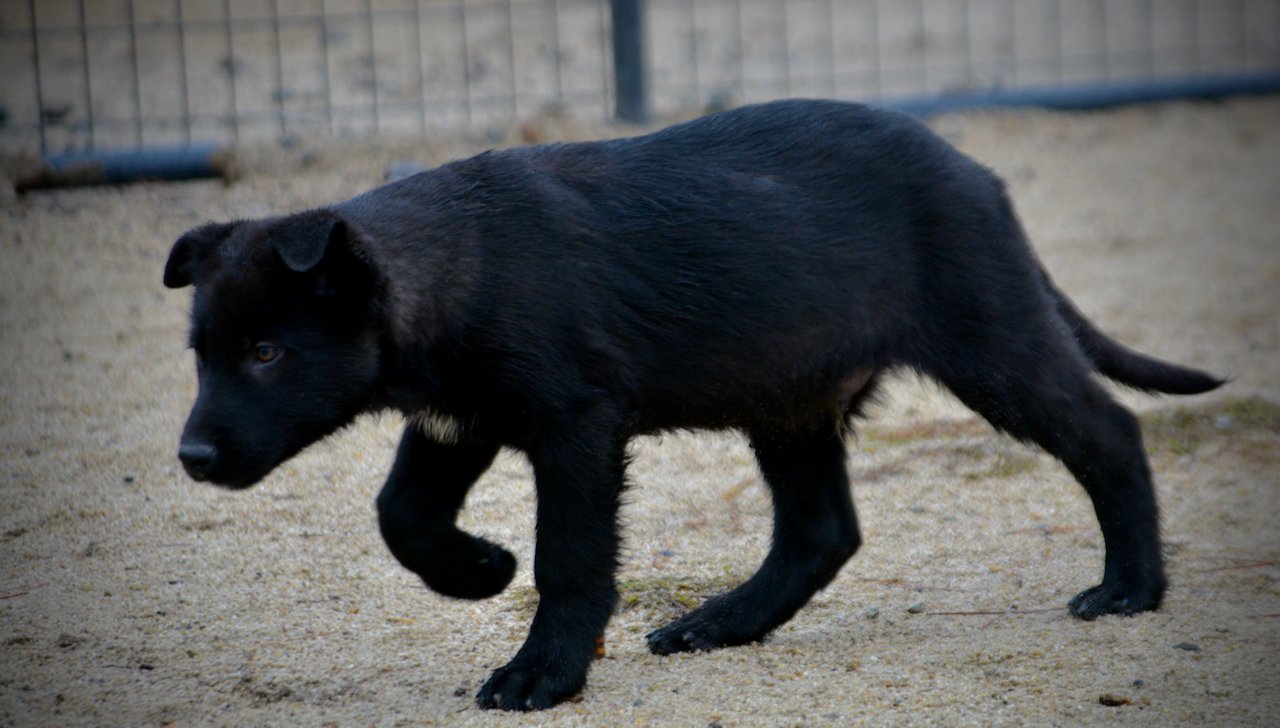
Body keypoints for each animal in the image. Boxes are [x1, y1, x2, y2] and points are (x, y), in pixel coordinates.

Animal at [165, 99, 1223, 711]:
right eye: (202, 356)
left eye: (267, 352)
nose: (192, 460)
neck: (457, 262)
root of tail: (977, 173)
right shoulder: (457, 420)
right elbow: (402, 516)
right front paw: (479, 570)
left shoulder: (576, 428)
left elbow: (571, 562)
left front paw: (542, 674)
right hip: (792, 395)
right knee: (821, 532)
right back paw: (717, 625)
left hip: (992, 339)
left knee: (1109, 431)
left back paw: (1130, 587)